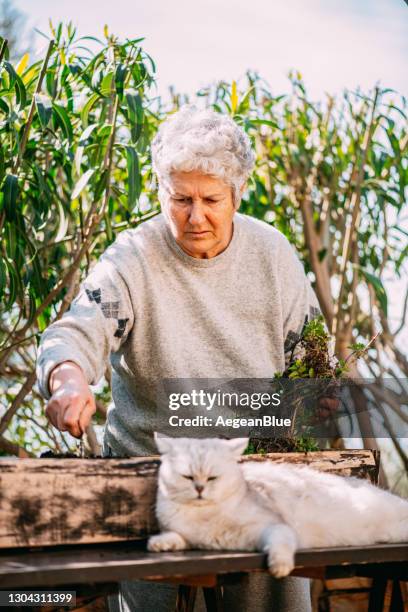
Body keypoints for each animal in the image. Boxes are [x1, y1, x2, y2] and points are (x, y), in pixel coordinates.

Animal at [148, 436, 408, 580]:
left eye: (213, 477)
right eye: (187, 477)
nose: (200, 489)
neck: (204, 516)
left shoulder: (274, 527)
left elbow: (280, 547)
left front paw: (279, 567)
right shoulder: (189, 536)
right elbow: (177, 536)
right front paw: (160, 543)